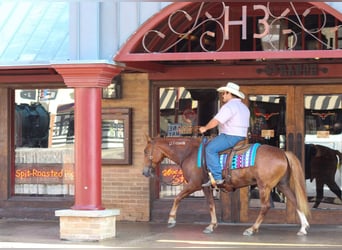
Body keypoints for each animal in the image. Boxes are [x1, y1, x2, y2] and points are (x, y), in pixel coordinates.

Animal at [142, 136, 310, 235]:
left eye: (145, 151)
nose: (144, 172)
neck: (189, 153)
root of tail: (283, 153)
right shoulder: (206, 187)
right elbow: (211, 205)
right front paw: (212, 225)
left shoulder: (196, 184)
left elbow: (178, 197)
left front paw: (171, 220)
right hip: (282, 185)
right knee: (295, 201)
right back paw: (303, 227)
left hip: (265, 186)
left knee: (265, 206)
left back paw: (252, 229)